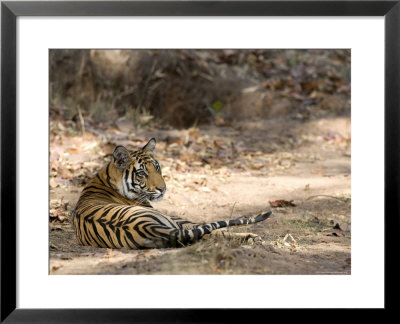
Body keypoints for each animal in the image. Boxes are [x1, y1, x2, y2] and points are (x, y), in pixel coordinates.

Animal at [72, 138, 272, 249]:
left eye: (157, 167)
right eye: (142, 173)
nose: (163, 188)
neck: (105, 177)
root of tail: (148, 227)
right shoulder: (180, 220)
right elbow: (207, 226)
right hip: (173, 223)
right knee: (208, 233)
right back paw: (251, 237)